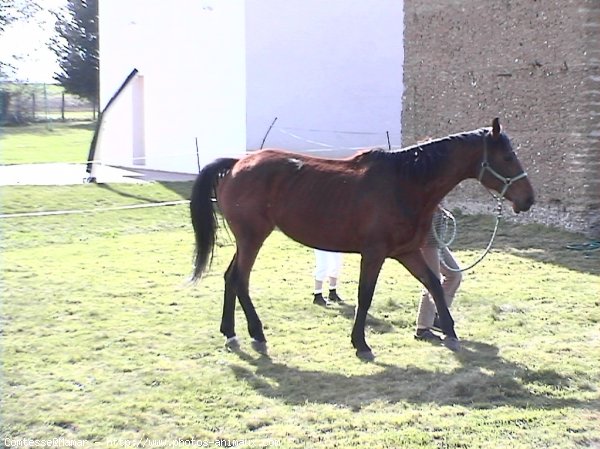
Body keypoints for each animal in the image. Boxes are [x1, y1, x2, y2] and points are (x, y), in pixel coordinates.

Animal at [189, 117, 536, 358]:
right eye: (507, 157)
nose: (528, 199)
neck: (405, 183)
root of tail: (237, 163)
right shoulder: (374, 254)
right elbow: (365, 296)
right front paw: (360, 343)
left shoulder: (407, 252)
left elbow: (434, 284)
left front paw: (450, 332)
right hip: (253, 238)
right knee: (240, 280)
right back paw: (257, 333)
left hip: (246, 240)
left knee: (230, 277)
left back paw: (230, 332)